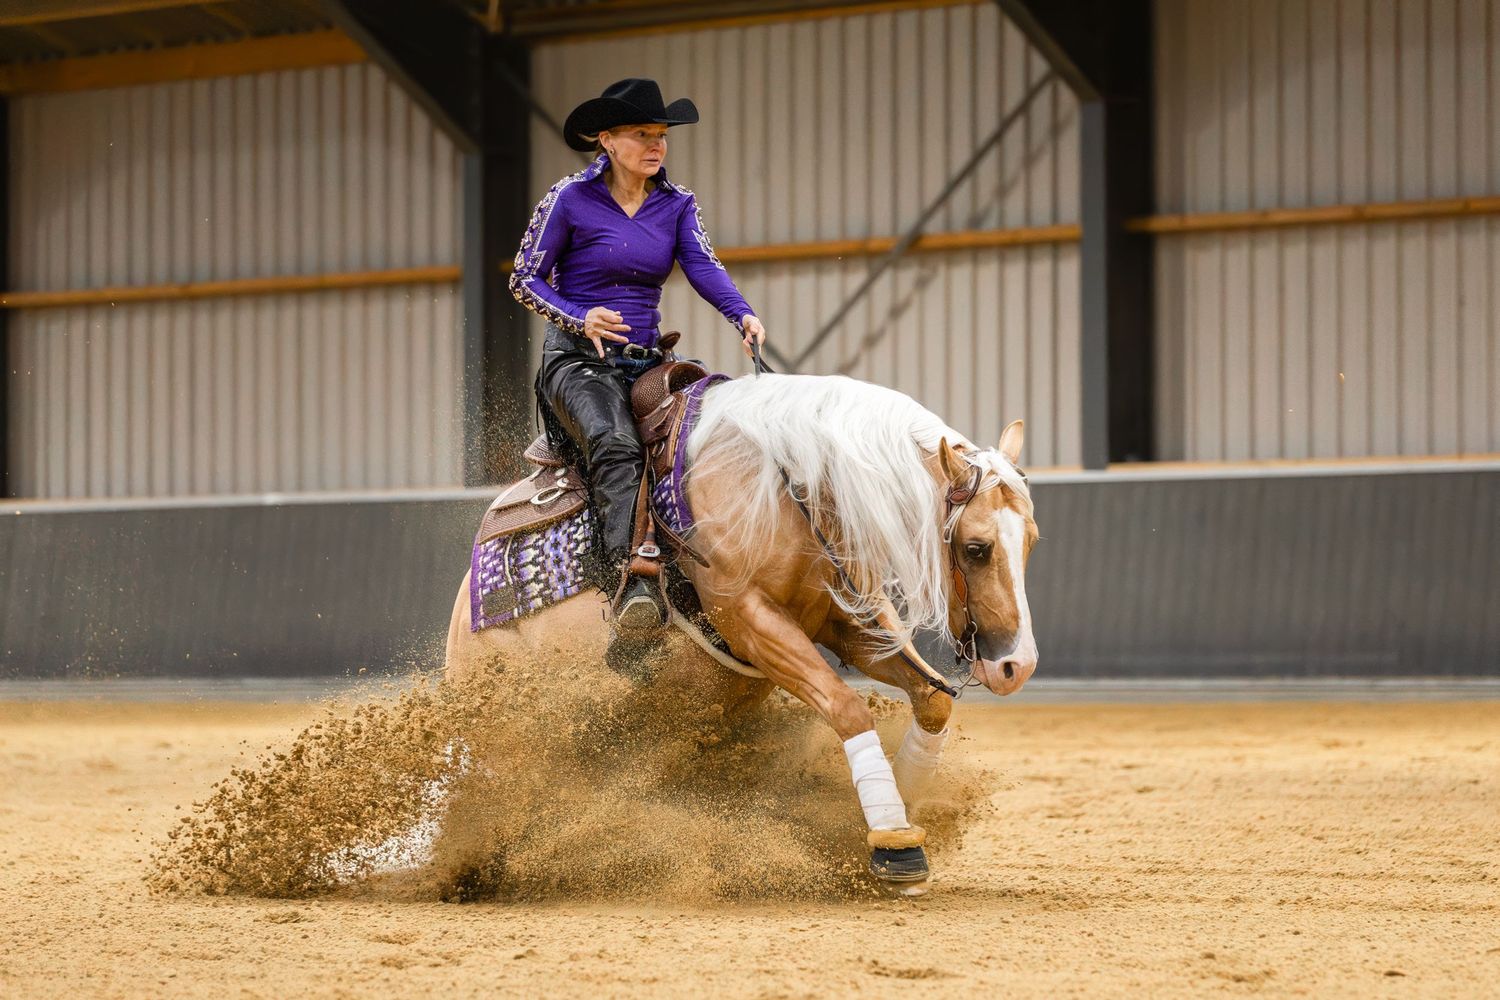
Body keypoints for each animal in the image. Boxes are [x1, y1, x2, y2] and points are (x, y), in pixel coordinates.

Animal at [444, 372, 1038, 890]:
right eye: (976, 548)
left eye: (1030, 539)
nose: (1017, 666)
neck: (789, 487)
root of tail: (464, 609)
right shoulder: (753, 622)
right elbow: (847, 707)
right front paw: (896, 845)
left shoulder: (843, 619)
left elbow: (931, 701)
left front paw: (900, 811)